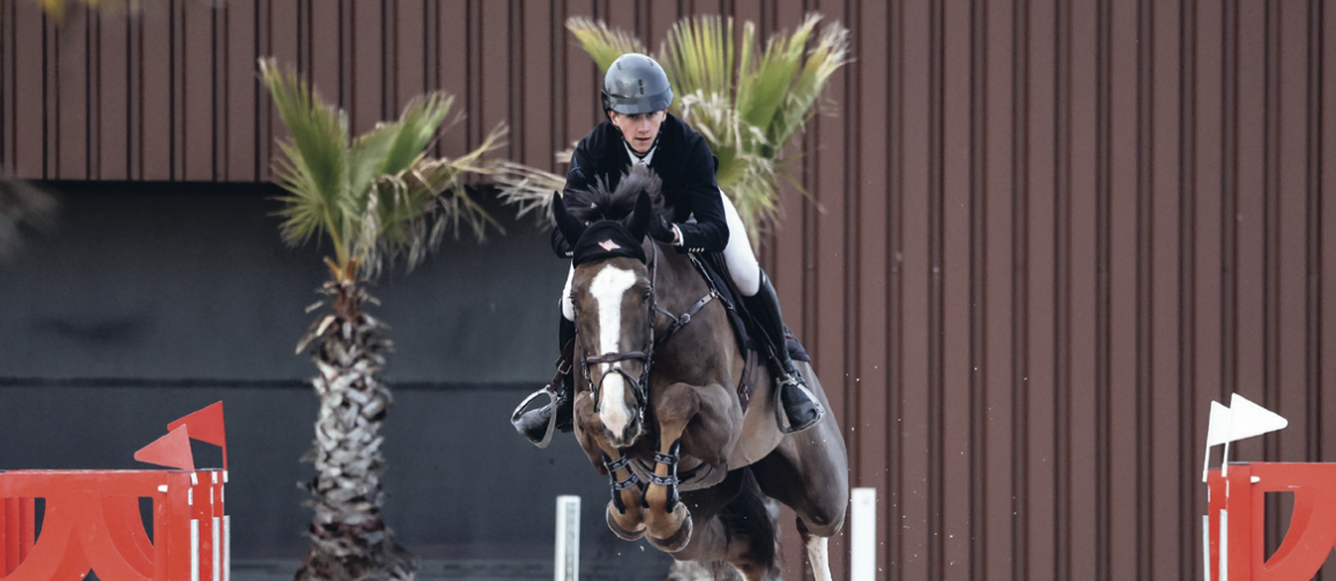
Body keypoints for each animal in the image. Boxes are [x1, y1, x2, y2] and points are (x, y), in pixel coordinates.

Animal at [551, 166, 849, 581]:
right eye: (575, 301)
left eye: (646, 293)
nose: (619, 411)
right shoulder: (593, 414)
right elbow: (587, 414)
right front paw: (629, 502)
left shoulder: (725, 422)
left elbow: (677, 399)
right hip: (708, 508)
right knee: (742, 549)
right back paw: (669, 516)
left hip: (820, 481)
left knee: (815, 525)